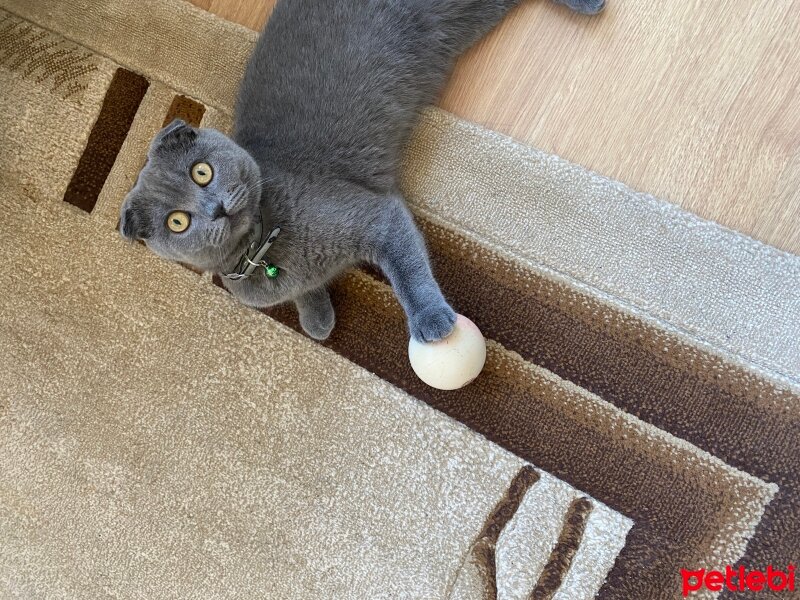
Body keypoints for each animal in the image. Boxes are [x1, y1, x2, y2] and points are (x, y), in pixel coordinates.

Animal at [119, 0, 604, 340]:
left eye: (202, 172)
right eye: (177, 222)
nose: (216, 208)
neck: (262, 247)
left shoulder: (375, 216)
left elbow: (408, 269)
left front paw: (431, 320)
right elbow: (308, 295)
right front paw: (318, 318)